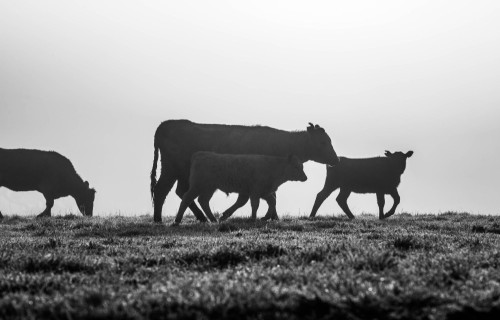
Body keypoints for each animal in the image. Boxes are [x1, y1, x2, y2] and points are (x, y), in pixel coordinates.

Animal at [174, 152, 306, 225]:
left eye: (302, 166)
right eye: (296, 166)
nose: (305, 177)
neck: (273, 167)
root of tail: (201, 154)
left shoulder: (264, 191)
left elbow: (272, 202)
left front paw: (265, 217)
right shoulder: (255, 191)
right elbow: (255, 204)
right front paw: (253, 219)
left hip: (209, 188)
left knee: (203, 201)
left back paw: (213, 219)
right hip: (198, 186)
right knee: (187, 198)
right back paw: (177, 220)